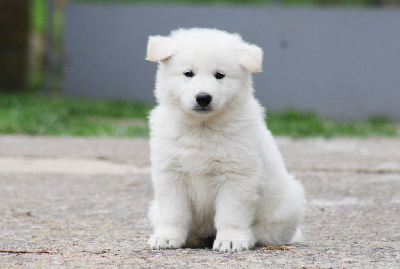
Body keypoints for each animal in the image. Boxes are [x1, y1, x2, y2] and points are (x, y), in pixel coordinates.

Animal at [147, 27, 306, 251]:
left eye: (220, 75)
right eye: (188, 73)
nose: (203, 97)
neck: (202, 127)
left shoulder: (237, 175)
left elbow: (231, 213)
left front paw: (231, 239)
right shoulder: (170, 173)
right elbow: (173, 211)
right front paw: (167, 236)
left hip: (287, 205)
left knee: (264, 233)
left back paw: (248, 237)